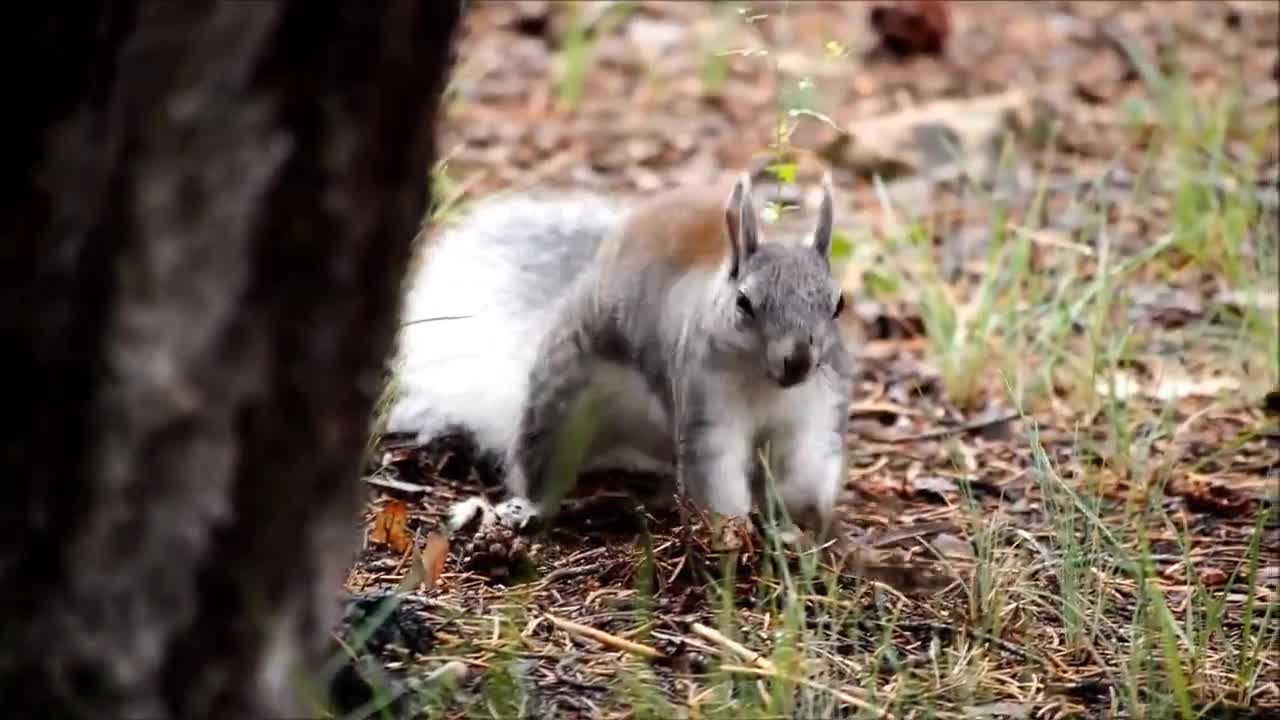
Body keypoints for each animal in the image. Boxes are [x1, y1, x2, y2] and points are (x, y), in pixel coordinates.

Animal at [384, 172, 855, 538]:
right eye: (744, 303)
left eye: (838, 305)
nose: (797, 361)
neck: (763, 382)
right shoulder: (704, 406)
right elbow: (716, 472)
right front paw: (730, 537)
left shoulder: (815, 410)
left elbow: (807, 465)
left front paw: (802, 521)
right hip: (563, 398)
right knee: (541, 461)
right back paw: (531, 505)